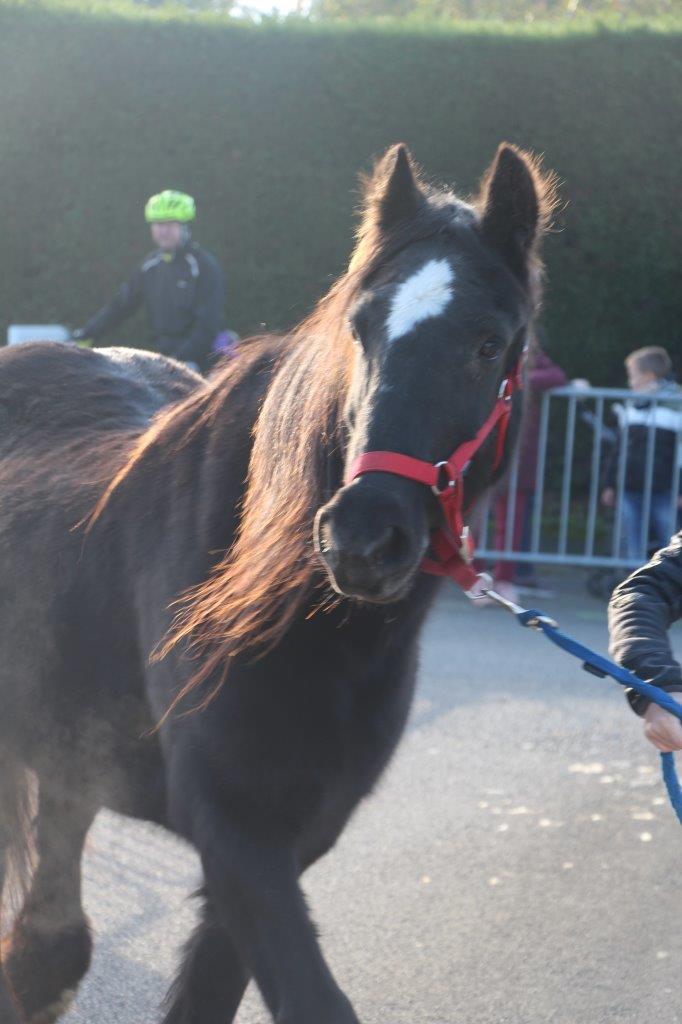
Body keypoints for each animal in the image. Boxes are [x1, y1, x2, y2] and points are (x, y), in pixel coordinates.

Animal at [0, 146, 552, 1024]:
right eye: (360, 328)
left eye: (489, 343)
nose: (362, 537)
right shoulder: (235, 828)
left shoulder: (290, 839)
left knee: (47, 945)